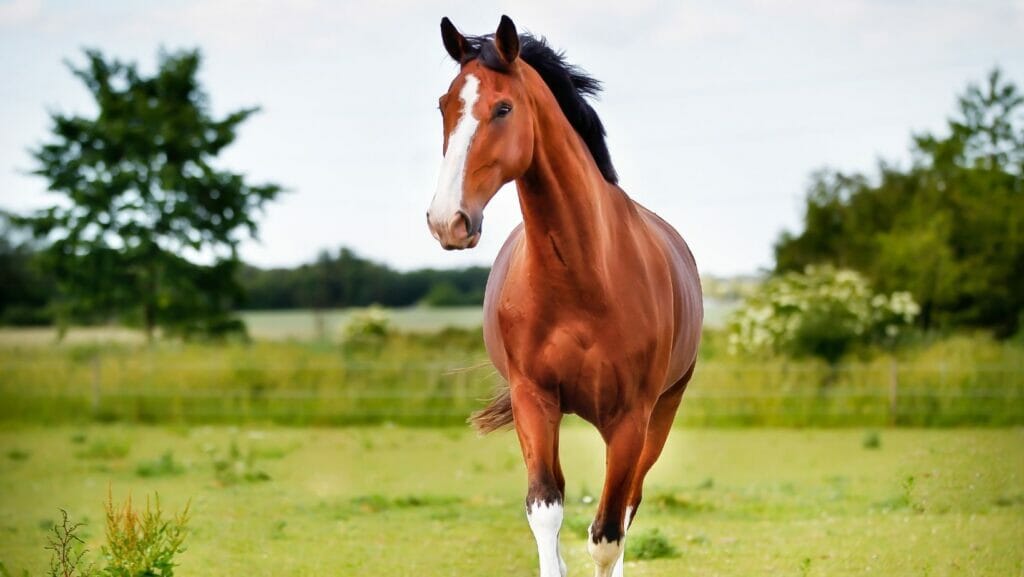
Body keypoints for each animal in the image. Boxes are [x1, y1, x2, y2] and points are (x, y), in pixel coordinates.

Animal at [425, 16, 703, 577]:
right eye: (444, 106)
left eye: (503, 108)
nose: (448, 220)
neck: (581, 277)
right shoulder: (534, 401)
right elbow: (546, 511)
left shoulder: (631, 418)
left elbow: (607, 536)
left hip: (659, 417)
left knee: (628, 508)